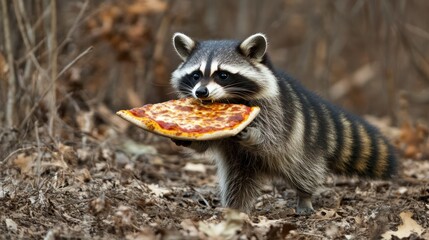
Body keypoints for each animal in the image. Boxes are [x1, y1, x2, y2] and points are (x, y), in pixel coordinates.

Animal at [169, 31, 396, 214]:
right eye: (196, 75)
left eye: (223, 75)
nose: (201, 92)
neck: (227, 99)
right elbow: (204, 144)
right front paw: (186, 138)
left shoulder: (274, 109)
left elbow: (272, 136)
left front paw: (253, 135)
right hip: (241, 163)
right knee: (237, 182)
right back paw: (236, 208)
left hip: (302, 144)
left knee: (303, 170)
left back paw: (304, 196)